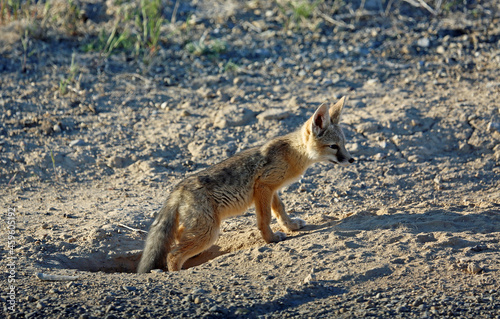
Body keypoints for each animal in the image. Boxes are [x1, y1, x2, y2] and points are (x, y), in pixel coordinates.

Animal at [138, 96, 356, 274]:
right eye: (334, 147)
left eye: (344, 144)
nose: (352, 160)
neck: (292, 153)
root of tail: (178, 187)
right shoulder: (263, 187)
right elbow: (265, 219)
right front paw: (271, 239)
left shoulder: (271, 189)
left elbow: (280, 210)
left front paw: (291, 226)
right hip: (208, 232)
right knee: (172, 255)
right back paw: (177, 274)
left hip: (200, 228)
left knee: (178, 240)